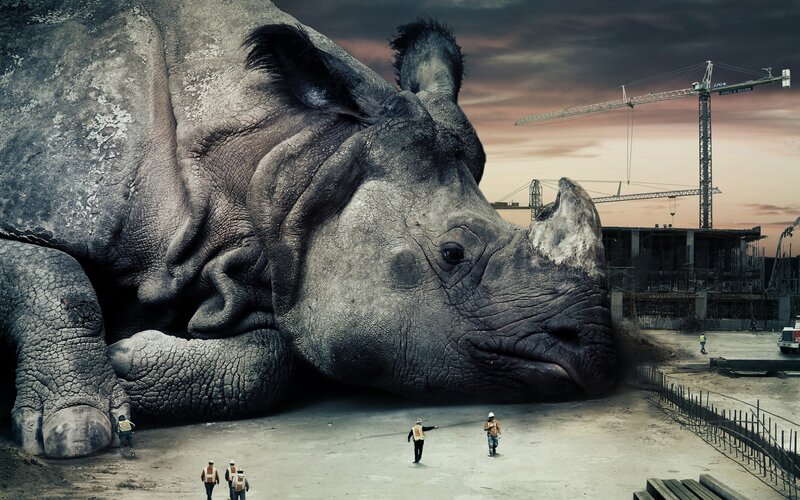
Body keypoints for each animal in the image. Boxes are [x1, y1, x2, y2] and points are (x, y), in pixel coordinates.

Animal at [0, 0, 617, 458]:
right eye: (452, 253)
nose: (595, 351)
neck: (294, 158)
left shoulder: (257, 265)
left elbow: (269, 360)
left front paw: (127, 364)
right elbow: (53, 277)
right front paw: (78, 430)